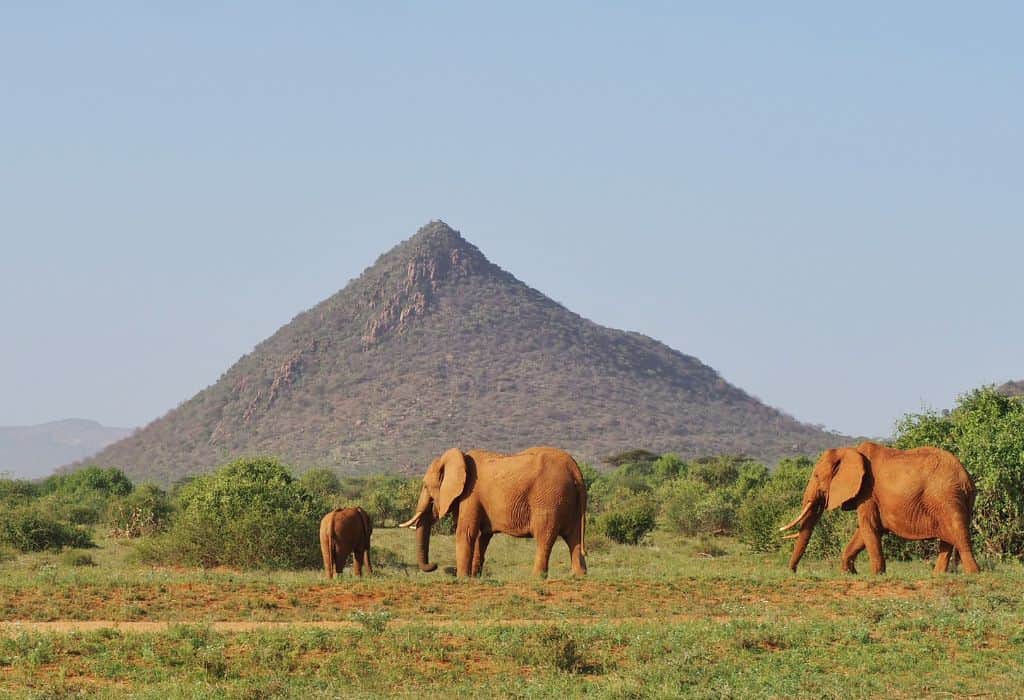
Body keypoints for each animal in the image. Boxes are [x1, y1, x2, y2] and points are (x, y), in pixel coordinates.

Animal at [401, 446, 593, 577]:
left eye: (426, 486)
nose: (434, 565)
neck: (459, 457)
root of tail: (575, 470)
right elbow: (482, 536)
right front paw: (474, 577)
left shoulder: (470, 496)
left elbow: (466, 533)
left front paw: (462, 578)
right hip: (569, 501)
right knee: (573, 537)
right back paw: (579, 576)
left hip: (549, 499)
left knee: (545, 538)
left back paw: (537, 577)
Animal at [778, 442, 978, 573]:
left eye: (817, 476)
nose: (792, 571)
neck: (850, 451)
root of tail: (967, 478)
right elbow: (863, 531)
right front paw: (850, 573)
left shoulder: (868, 490)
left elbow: (869, 527)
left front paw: (877, 575)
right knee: (948, 540)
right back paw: (938, 576)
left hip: (946, 497)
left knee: (959, 536)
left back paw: (973, 573)